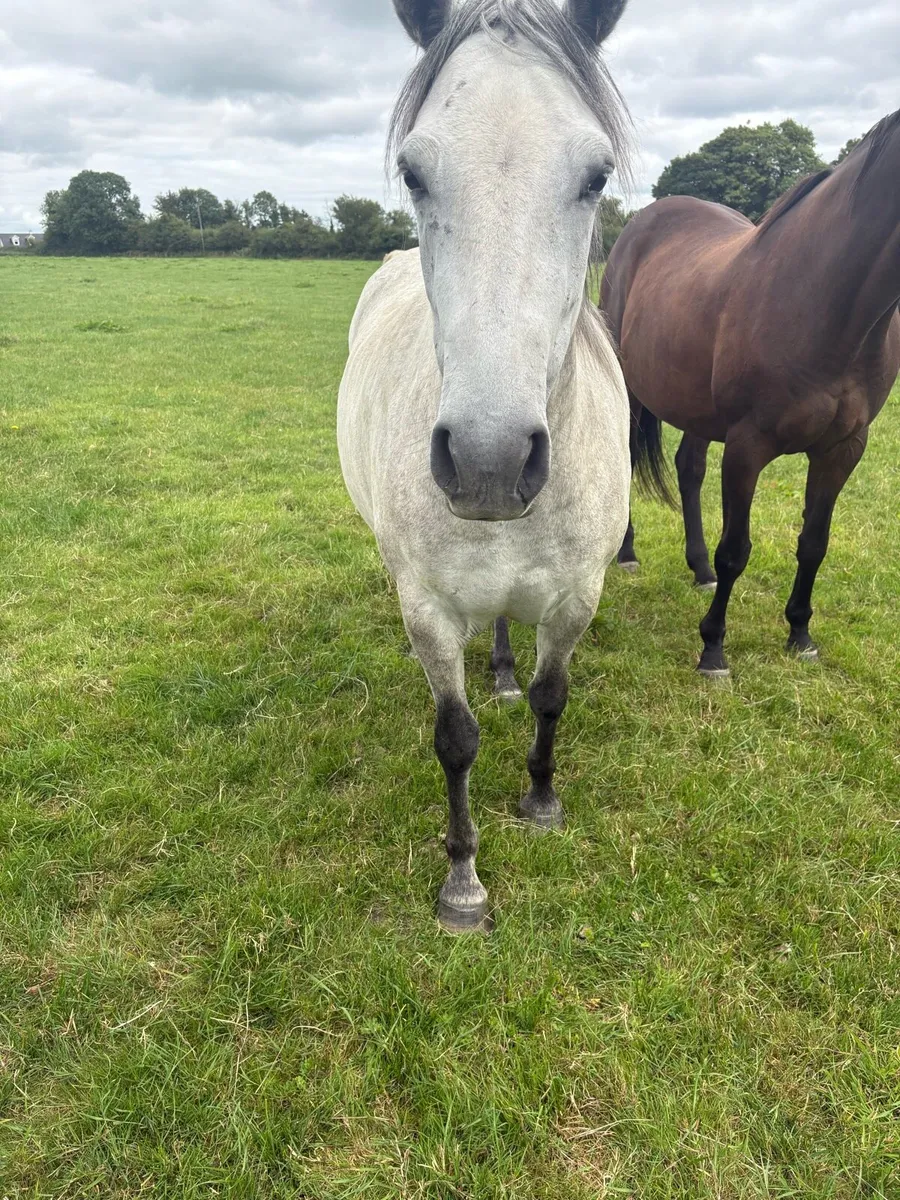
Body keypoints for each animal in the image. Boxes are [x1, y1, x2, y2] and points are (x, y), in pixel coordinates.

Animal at [338, 0, 633, 931]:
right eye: (415, 172)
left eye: (595, 175)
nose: (489, 459)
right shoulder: (430, 612)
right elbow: (455, 737)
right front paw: (462, 881)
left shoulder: (576, 597)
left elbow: (550, 697)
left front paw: (541, 800)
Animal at [602, 111, 900, 677]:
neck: (825, 301)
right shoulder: (747, 446)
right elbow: (736, 549)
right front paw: (713, 648)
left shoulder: (843, 448)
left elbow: (813, 543)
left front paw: (800, 633)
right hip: (629, 389)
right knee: (626, 459)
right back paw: (627, 554)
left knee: (689, 468)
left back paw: (698, 570)